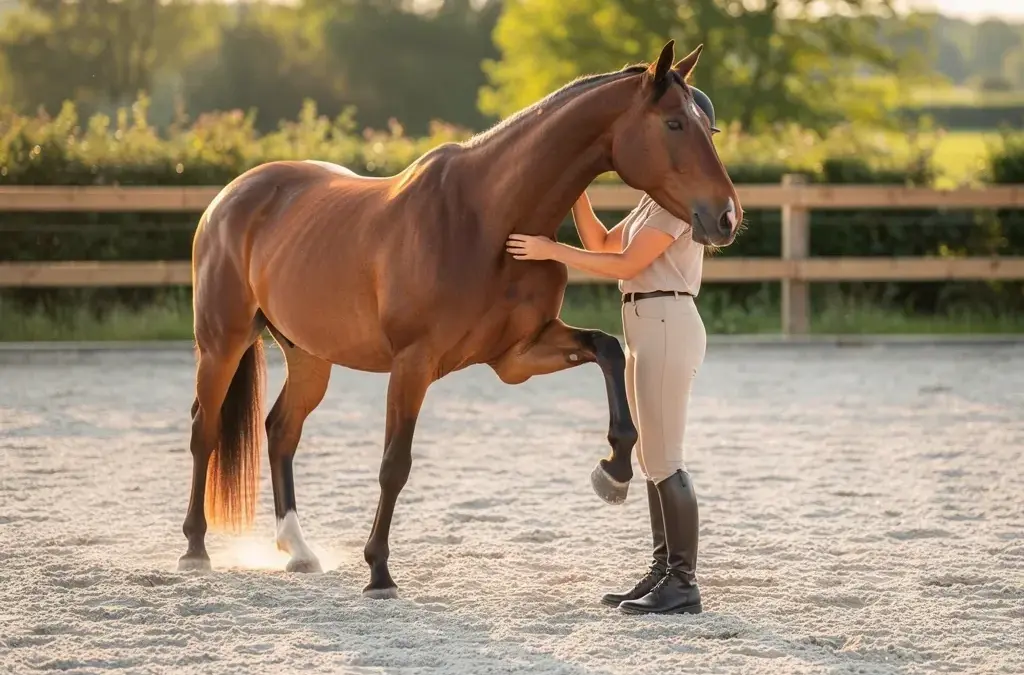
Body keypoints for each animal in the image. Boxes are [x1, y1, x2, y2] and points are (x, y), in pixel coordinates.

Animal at [178, 40, 743, 599]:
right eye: (674, 123)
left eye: (706, 126)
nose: (727, 217)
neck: (486, 218)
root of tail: (229, 196)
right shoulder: (413, 363)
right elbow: (394, 465)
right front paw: (379, 571)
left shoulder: (518, 354)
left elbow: (608, 349)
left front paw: (616, 470)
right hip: (222, 343)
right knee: (205, 430)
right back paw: (195, 550)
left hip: (310, 356)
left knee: (280, 431)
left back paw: (298, 550)